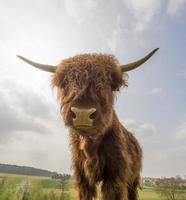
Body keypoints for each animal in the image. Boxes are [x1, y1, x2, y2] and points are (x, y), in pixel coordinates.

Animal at [17, 48, 158, 200]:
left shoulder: (115, 177)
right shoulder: (82, 178)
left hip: (133, 180)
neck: (91, 146)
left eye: (110, 84)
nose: (82, 114)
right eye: (65, 82)